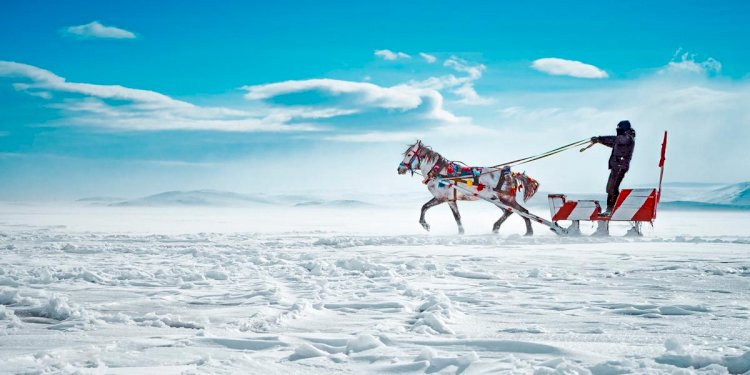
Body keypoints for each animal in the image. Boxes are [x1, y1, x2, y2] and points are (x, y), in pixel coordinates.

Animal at [400, 140, 540, 236]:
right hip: (498, 200)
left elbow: (427, 208)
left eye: (409, 155)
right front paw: (461, 232)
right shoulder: (449, 199)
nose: (399, 169)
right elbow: (454, 216)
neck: (440, 173)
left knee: (520, 211)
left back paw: (518, 230)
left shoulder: (442, 198)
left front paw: (425, 225)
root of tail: (509, 174)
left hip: (506, 199)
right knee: (513, 212)